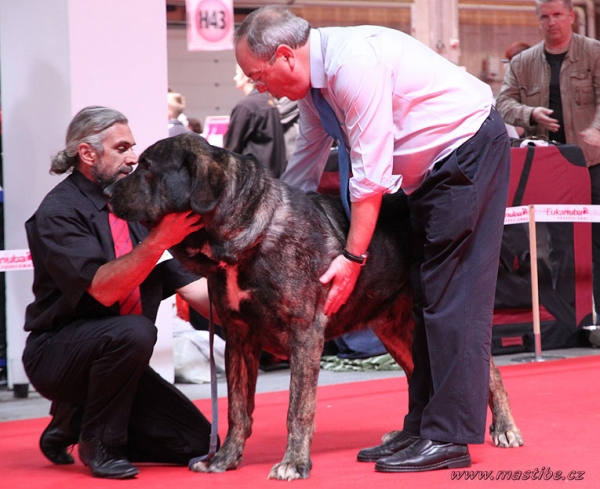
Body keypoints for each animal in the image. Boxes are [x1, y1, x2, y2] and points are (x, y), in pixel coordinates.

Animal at [110, 132, 524, 478]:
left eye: (146, 167)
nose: (110, 189)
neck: (250, 237)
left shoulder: (304, 333)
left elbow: (298, 408)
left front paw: (294, 463)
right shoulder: (240, 337)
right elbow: (238, 408)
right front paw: (225, 458)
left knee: (488, 369)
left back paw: (503, 428)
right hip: (396, 329)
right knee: (419, 373)